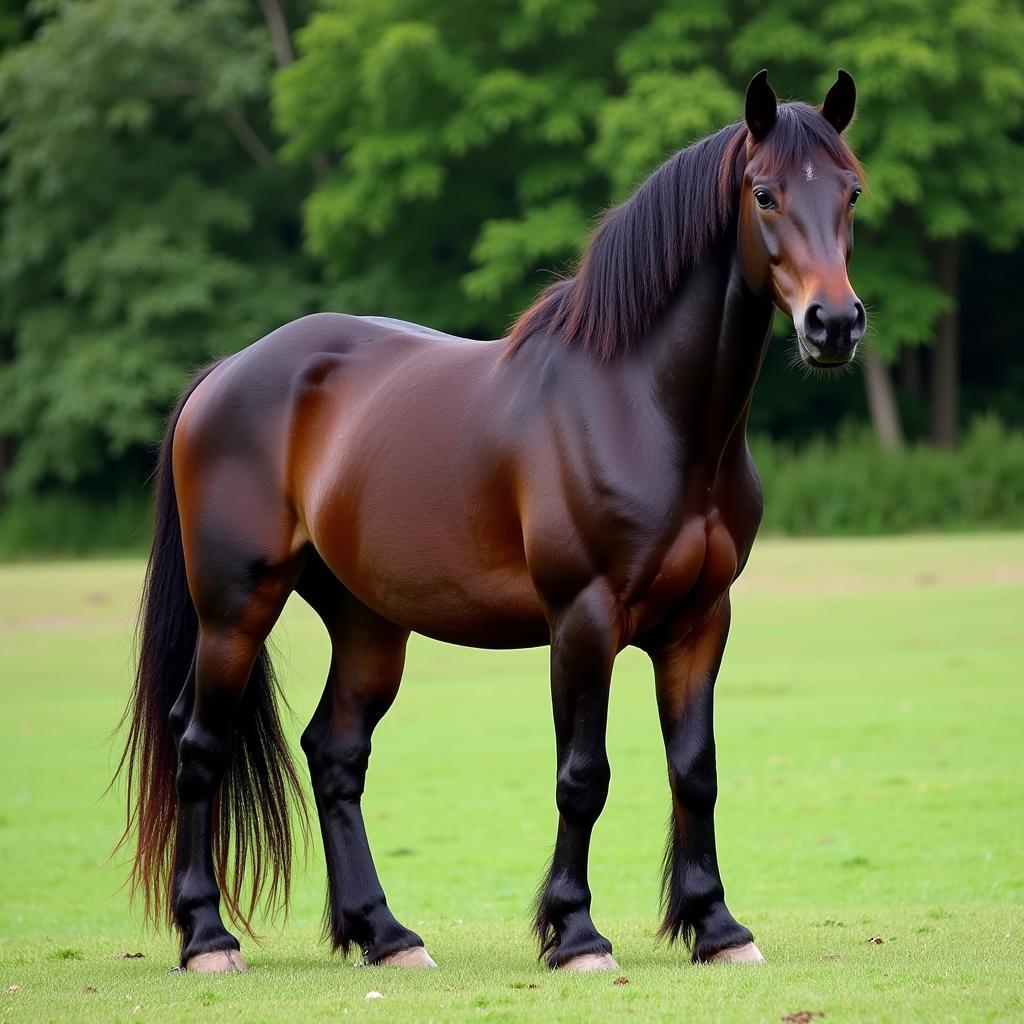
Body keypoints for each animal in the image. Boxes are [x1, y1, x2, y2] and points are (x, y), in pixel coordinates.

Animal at [116, 72, 868, 974]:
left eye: (852, 192)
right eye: (764, 194)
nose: (835, 324)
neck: (644, 408)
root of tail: (226, 372)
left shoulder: (700, 622)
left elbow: (695, 771)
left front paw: (718, 928)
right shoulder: (583, 620)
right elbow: (583, 776)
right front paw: (576, 935)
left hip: (367, 623)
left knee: (335, 756)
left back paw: (386, 934)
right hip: (235, 610)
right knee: (201, 746)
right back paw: (207, 937)